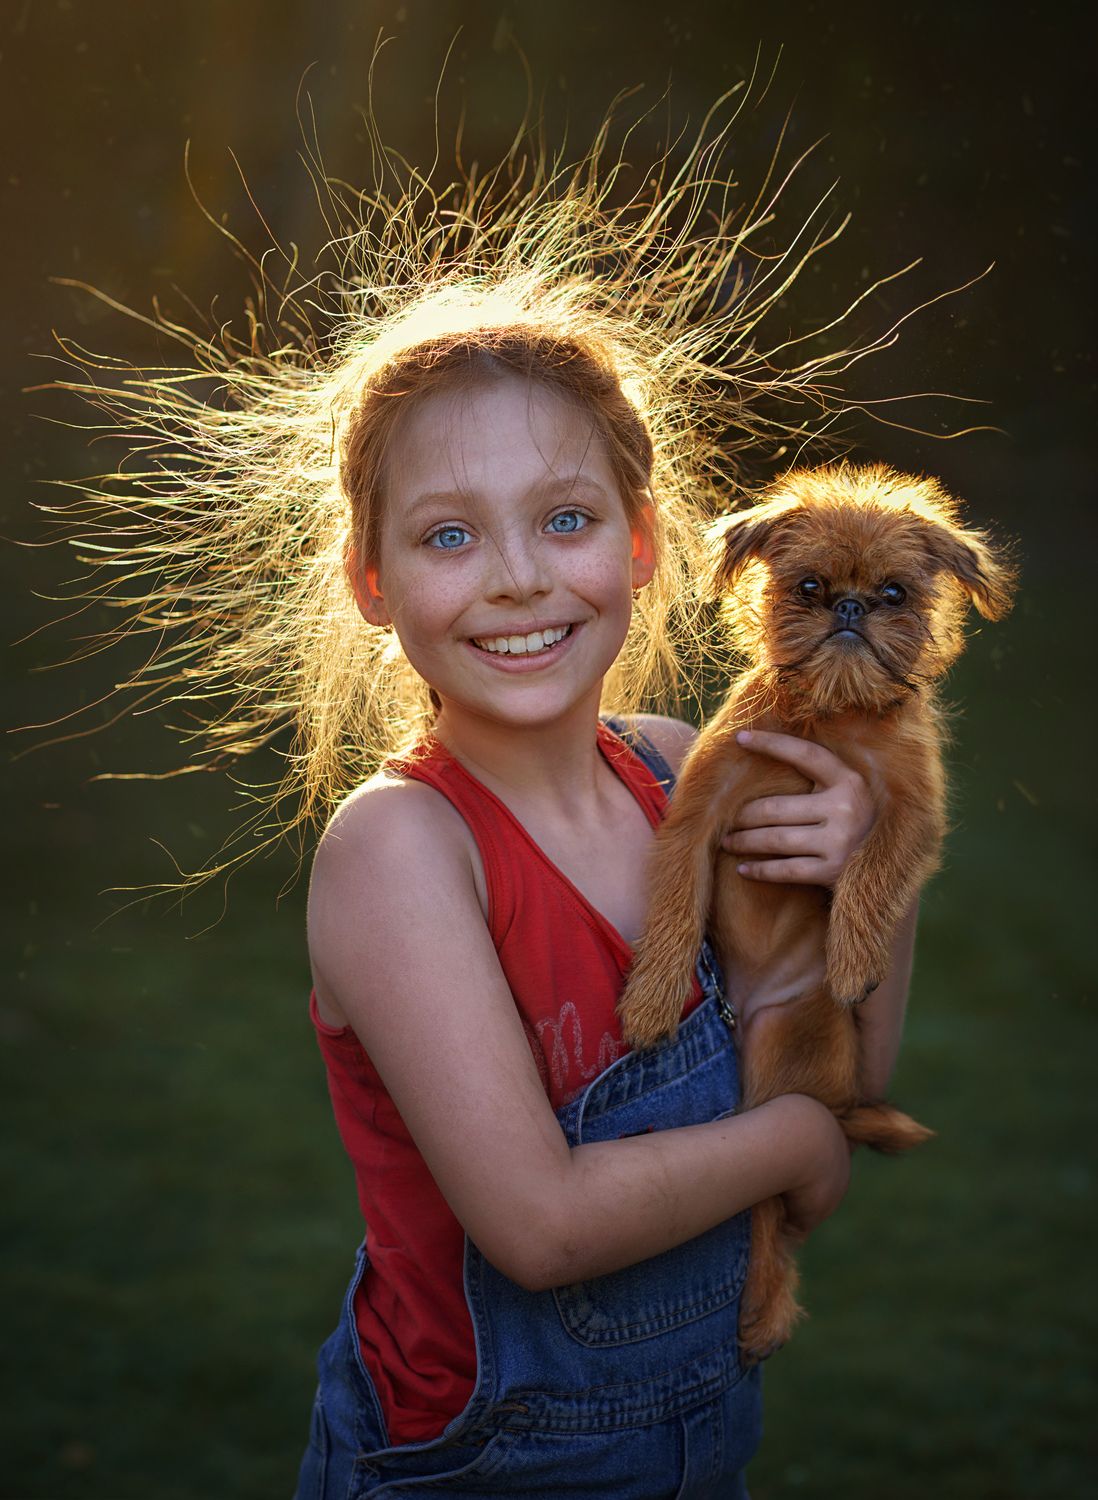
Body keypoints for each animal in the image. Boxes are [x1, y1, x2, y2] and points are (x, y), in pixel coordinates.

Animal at [618, 465, 1014, 1362]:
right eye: (807, 586)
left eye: (895, 593)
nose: (850, 607)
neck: (833, 715)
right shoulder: (699, 814)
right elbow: (673, 905)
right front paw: (653, 1001)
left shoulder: (909, 812)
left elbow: (869, 869)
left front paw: (857, 961)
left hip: (783, 1060)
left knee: (771, 1210)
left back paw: (763, 1313)